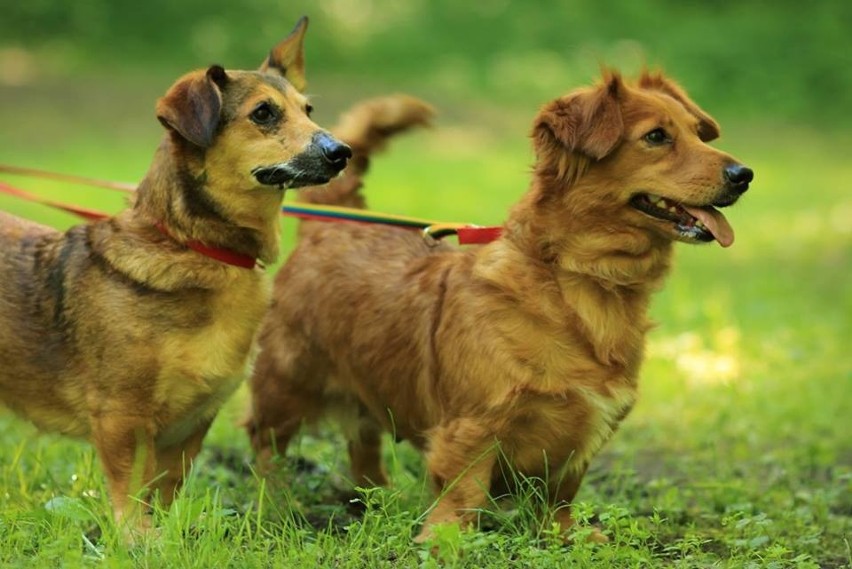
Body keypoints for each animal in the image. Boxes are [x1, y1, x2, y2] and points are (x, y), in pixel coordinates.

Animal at [0, 17, 350, 532]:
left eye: (308, 110)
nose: (342, 151)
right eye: (264, 113)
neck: (195, 247)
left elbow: (163, 496)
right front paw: (136, 541)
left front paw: (166, 539)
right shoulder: (122, 419)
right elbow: (131, 502)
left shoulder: (190, 427)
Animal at [245, 70, 752, 540]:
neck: (581, 280)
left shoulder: (582, 435)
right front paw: (445, 541)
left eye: (697, 132)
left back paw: (375, 502)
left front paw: (563, 533)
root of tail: (335, 223)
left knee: (363, 445)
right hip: (286, 383)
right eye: (656, 137)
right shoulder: (472, 428)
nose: (744, 175)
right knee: (266, 445)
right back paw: (279, 503)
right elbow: (463, 491)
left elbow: (560, 493)